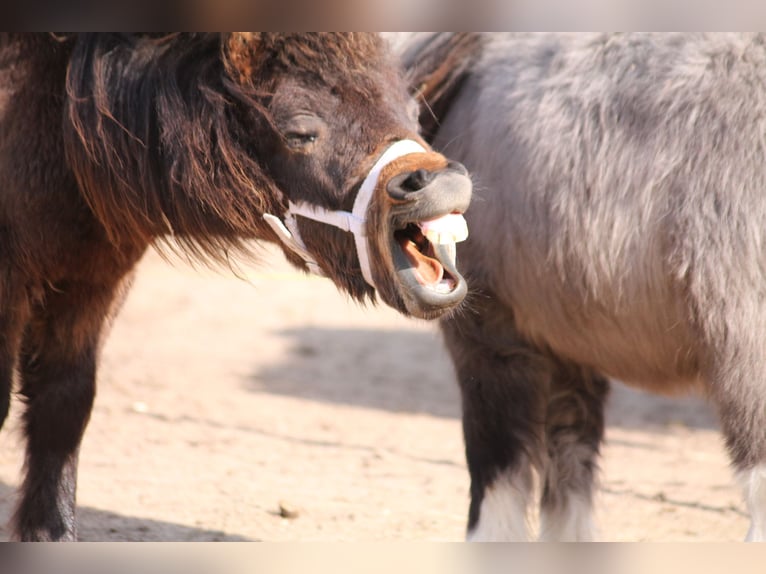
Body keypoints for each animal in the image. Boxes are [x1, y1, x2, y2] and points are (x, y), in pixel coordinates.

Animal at [0, 33, 474, 544]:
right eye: (299, 132)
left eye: (411, 108)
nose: (440, 183)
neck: (56, 118)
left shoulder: (93, 281)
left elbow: (64, 405)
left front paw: (50, 533)